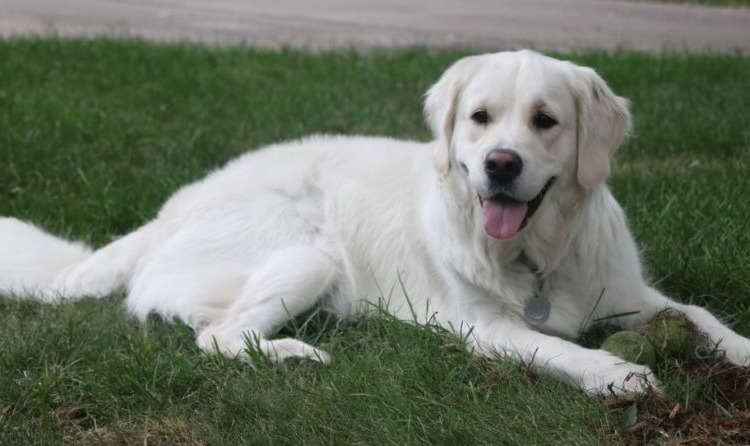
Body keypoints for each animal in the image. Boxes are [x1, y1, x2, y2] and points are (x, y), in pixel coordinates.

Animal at [1, 50, 750, 396]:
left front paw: (739, 350)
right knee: (217, 337)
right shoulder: (485, 327)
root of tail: (164, 213)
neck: (538, 254)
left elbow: (703, 317)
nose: (500, 164)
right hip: (311, 255)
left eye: (545, 120)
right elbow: (557, 348)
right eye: (479, 118)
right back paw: (296, 354)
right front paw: (614, 374)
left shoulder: (629, 294)